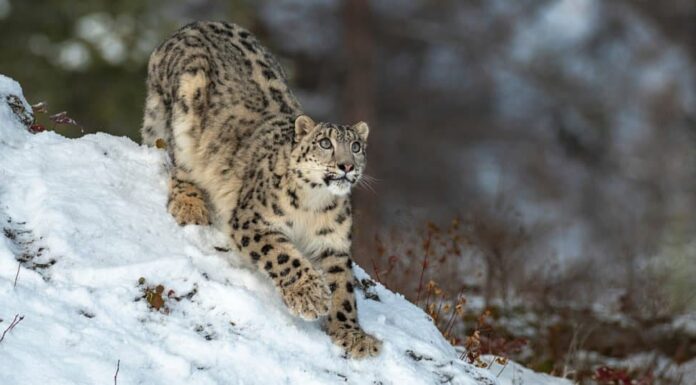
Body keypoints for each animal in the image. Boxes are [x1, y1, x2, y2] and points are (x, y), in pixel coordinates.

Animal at [141, 20, 380, 356]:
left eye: (356, 146)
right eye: (325, 143)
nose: (347, 166)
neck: (314, 204)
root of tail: (192, 25)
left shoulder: (333, 243)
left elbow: (343, 287)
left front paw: (352, 334)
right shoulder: (253, 219)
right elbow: (283, 255)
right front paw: (311, 296)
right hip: (186, 105)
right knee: (177, 160)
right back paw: (190, 205)